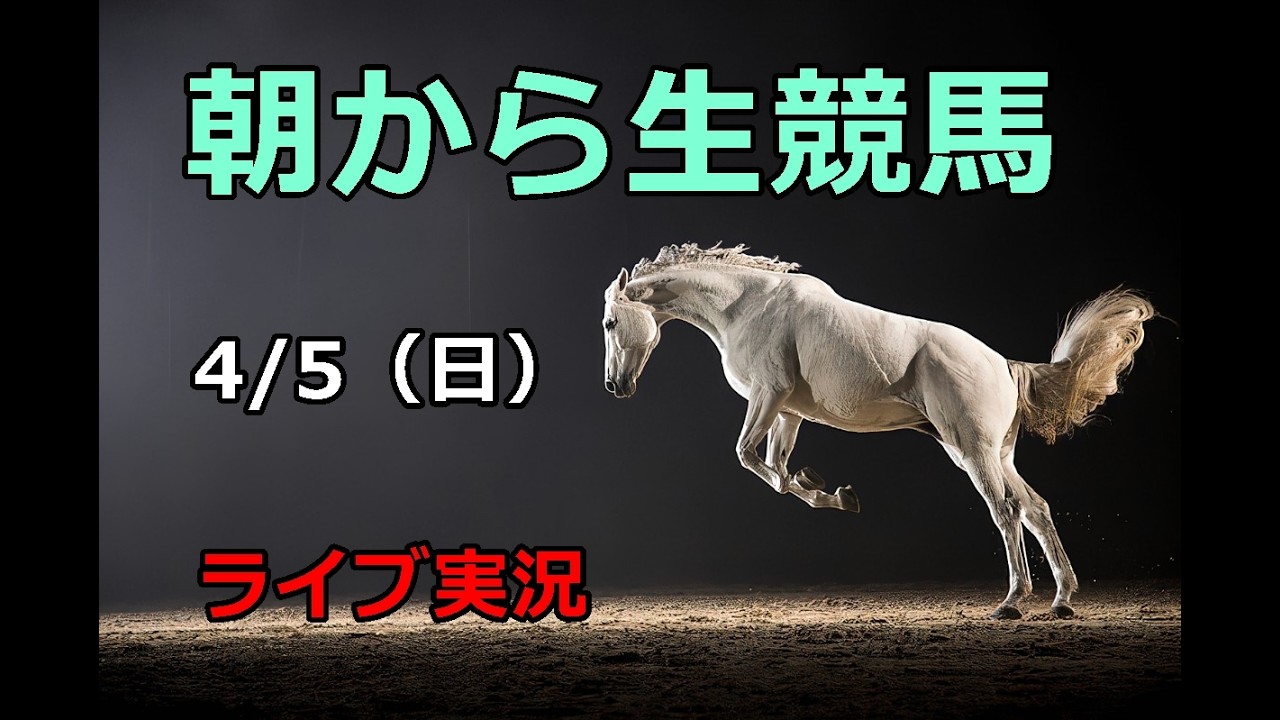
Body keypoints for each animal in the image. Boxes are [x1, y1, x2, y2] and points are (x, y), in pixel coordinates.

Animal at [601, 244, 1155, 620]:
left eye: (609, 323)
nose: (614, 386)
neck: (749, 305)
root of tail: (1004, 364)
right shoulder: (788, 412)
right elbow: (776, 470)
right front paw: (832, 492)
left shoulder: (768, 396)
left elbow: (748, 457)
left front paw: (826, 489)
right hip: (990, 453)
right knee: (1035, 508)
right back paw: (1062, 599)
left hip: (974, 452)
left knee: (1006, 510)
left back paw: (1013, 602)